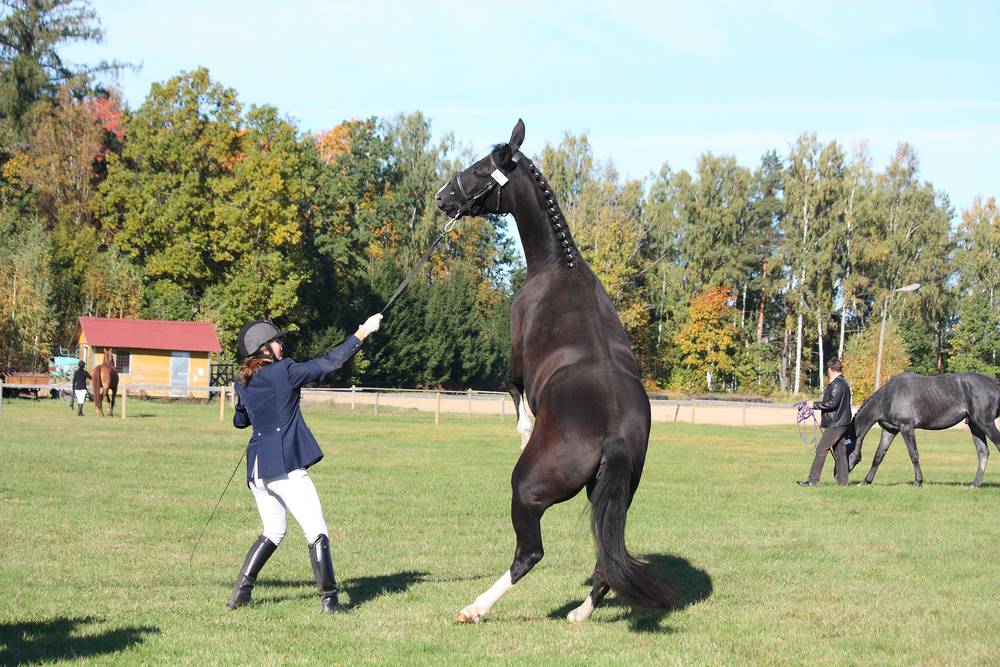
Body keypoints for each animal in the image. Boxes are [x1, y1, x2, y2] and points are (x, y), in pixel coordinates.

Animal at [434, 121, 676, 628]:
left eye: (479, 168)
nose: (443, 196)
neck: (558, 267)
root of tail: (614, 436)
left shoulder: (517, 358)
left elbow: (512, 388)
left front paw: (525, 428)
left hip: (526, 492)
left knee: (529, 554)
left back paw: (475, 608)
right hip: (612, 497)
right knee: (605, 558)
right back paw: (581, 612)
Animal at [848, 374, 1000, 488]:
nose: (841, 476)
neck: (888, 397)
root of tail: (994, 383)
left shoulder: (906, 427)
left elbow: (914, 454)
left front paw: (918, 481)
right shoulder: (889, 430)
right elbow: (879, 455)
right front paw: (866, 481)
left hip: (985, 424)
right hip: (975, 426)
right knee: (983, 452)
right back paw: (974, 484)